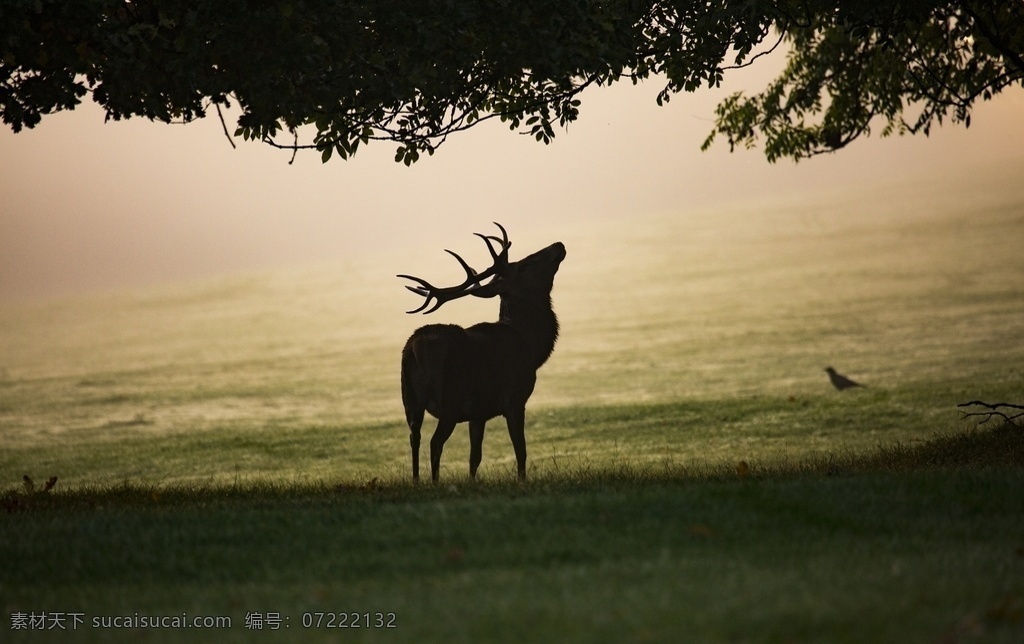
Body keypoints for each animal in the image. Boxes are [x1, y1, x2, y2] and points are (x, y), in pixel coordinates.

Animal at [398, 223, 566, 482]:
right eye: (524, 265)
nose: (558, 245)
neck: (530, 346)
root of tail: (416, 348)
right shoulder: (514, 398)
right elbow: (521, 449)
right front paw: (521, 481)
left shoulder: (478, 413)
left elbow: (474, 457)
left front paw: (472, 481)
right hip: (451, 398)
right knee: (435, 442)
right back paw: (434, 482)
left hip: (410, 399)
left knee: (414, 438)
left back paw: (417, 482)